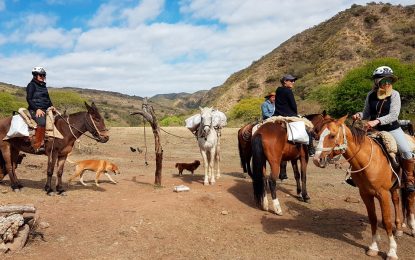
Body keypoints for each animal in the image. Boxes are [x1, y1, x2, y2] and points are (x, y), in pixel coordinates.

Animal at [312, 116, 406, 260]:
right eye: (318, 134)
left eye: (332, 135)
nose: (317, 160)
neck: (369, 160)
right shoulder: (365, 194)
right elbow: (373, 219)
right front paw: (373, 247)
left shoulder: (383, 194)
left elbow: (386, 221)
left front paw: (392, 252)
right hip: (393, 187)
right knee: (396, 200)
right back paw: (399, 229)